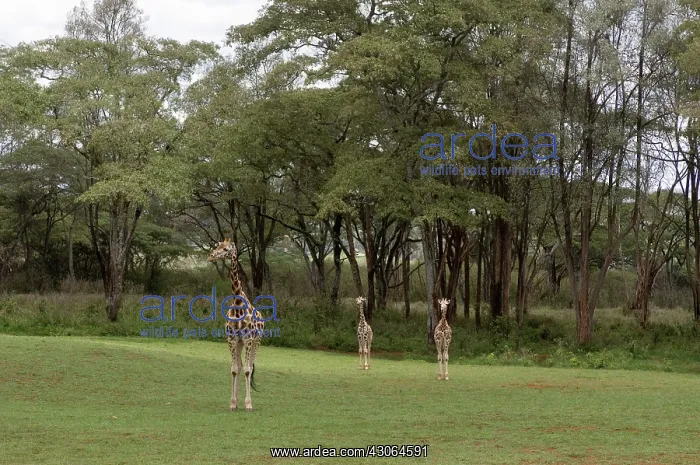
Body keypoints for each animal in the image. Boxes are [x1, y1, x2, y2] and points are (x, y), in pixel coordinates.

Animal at [208, 238, 264, 412]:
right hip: (240, 343)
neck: (238, 304)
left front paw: (248, 404)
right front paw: (233, 403)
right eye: (217, 246)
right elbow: (234, 369)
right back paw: (238, 401)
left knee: (250, 367)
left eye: (226, 249)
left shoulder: (248, 339)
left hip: (257, 342)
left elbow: (247, 370)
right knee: (239, 366)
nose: (211, 256)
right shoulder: (232, 339)